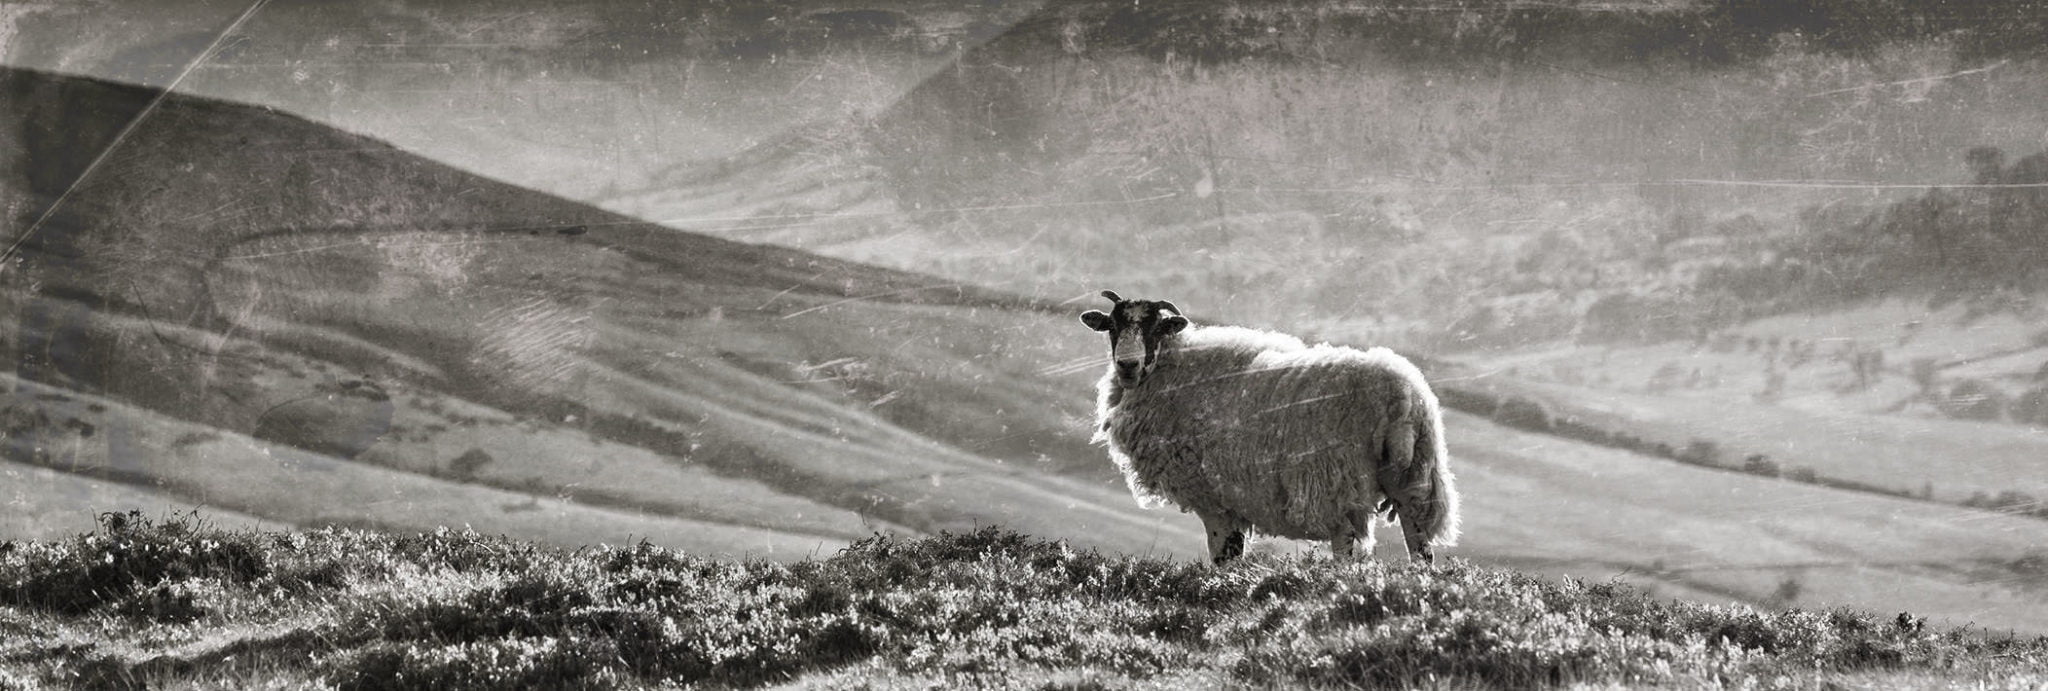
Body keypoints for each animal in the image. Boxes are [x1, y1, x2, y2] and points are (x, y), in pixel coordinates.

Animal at [1081, 287, 1466, 561]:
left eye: (1153, 328)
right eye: (1112, 327)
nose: (1127, 365)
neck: (1171, 368)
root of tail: (1402, 392)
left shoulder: (1215, 498)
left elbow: (1223, 556)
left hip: (1334, 477)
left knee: (1346, 543)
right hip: (1413, 475)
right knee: (1418, 541)